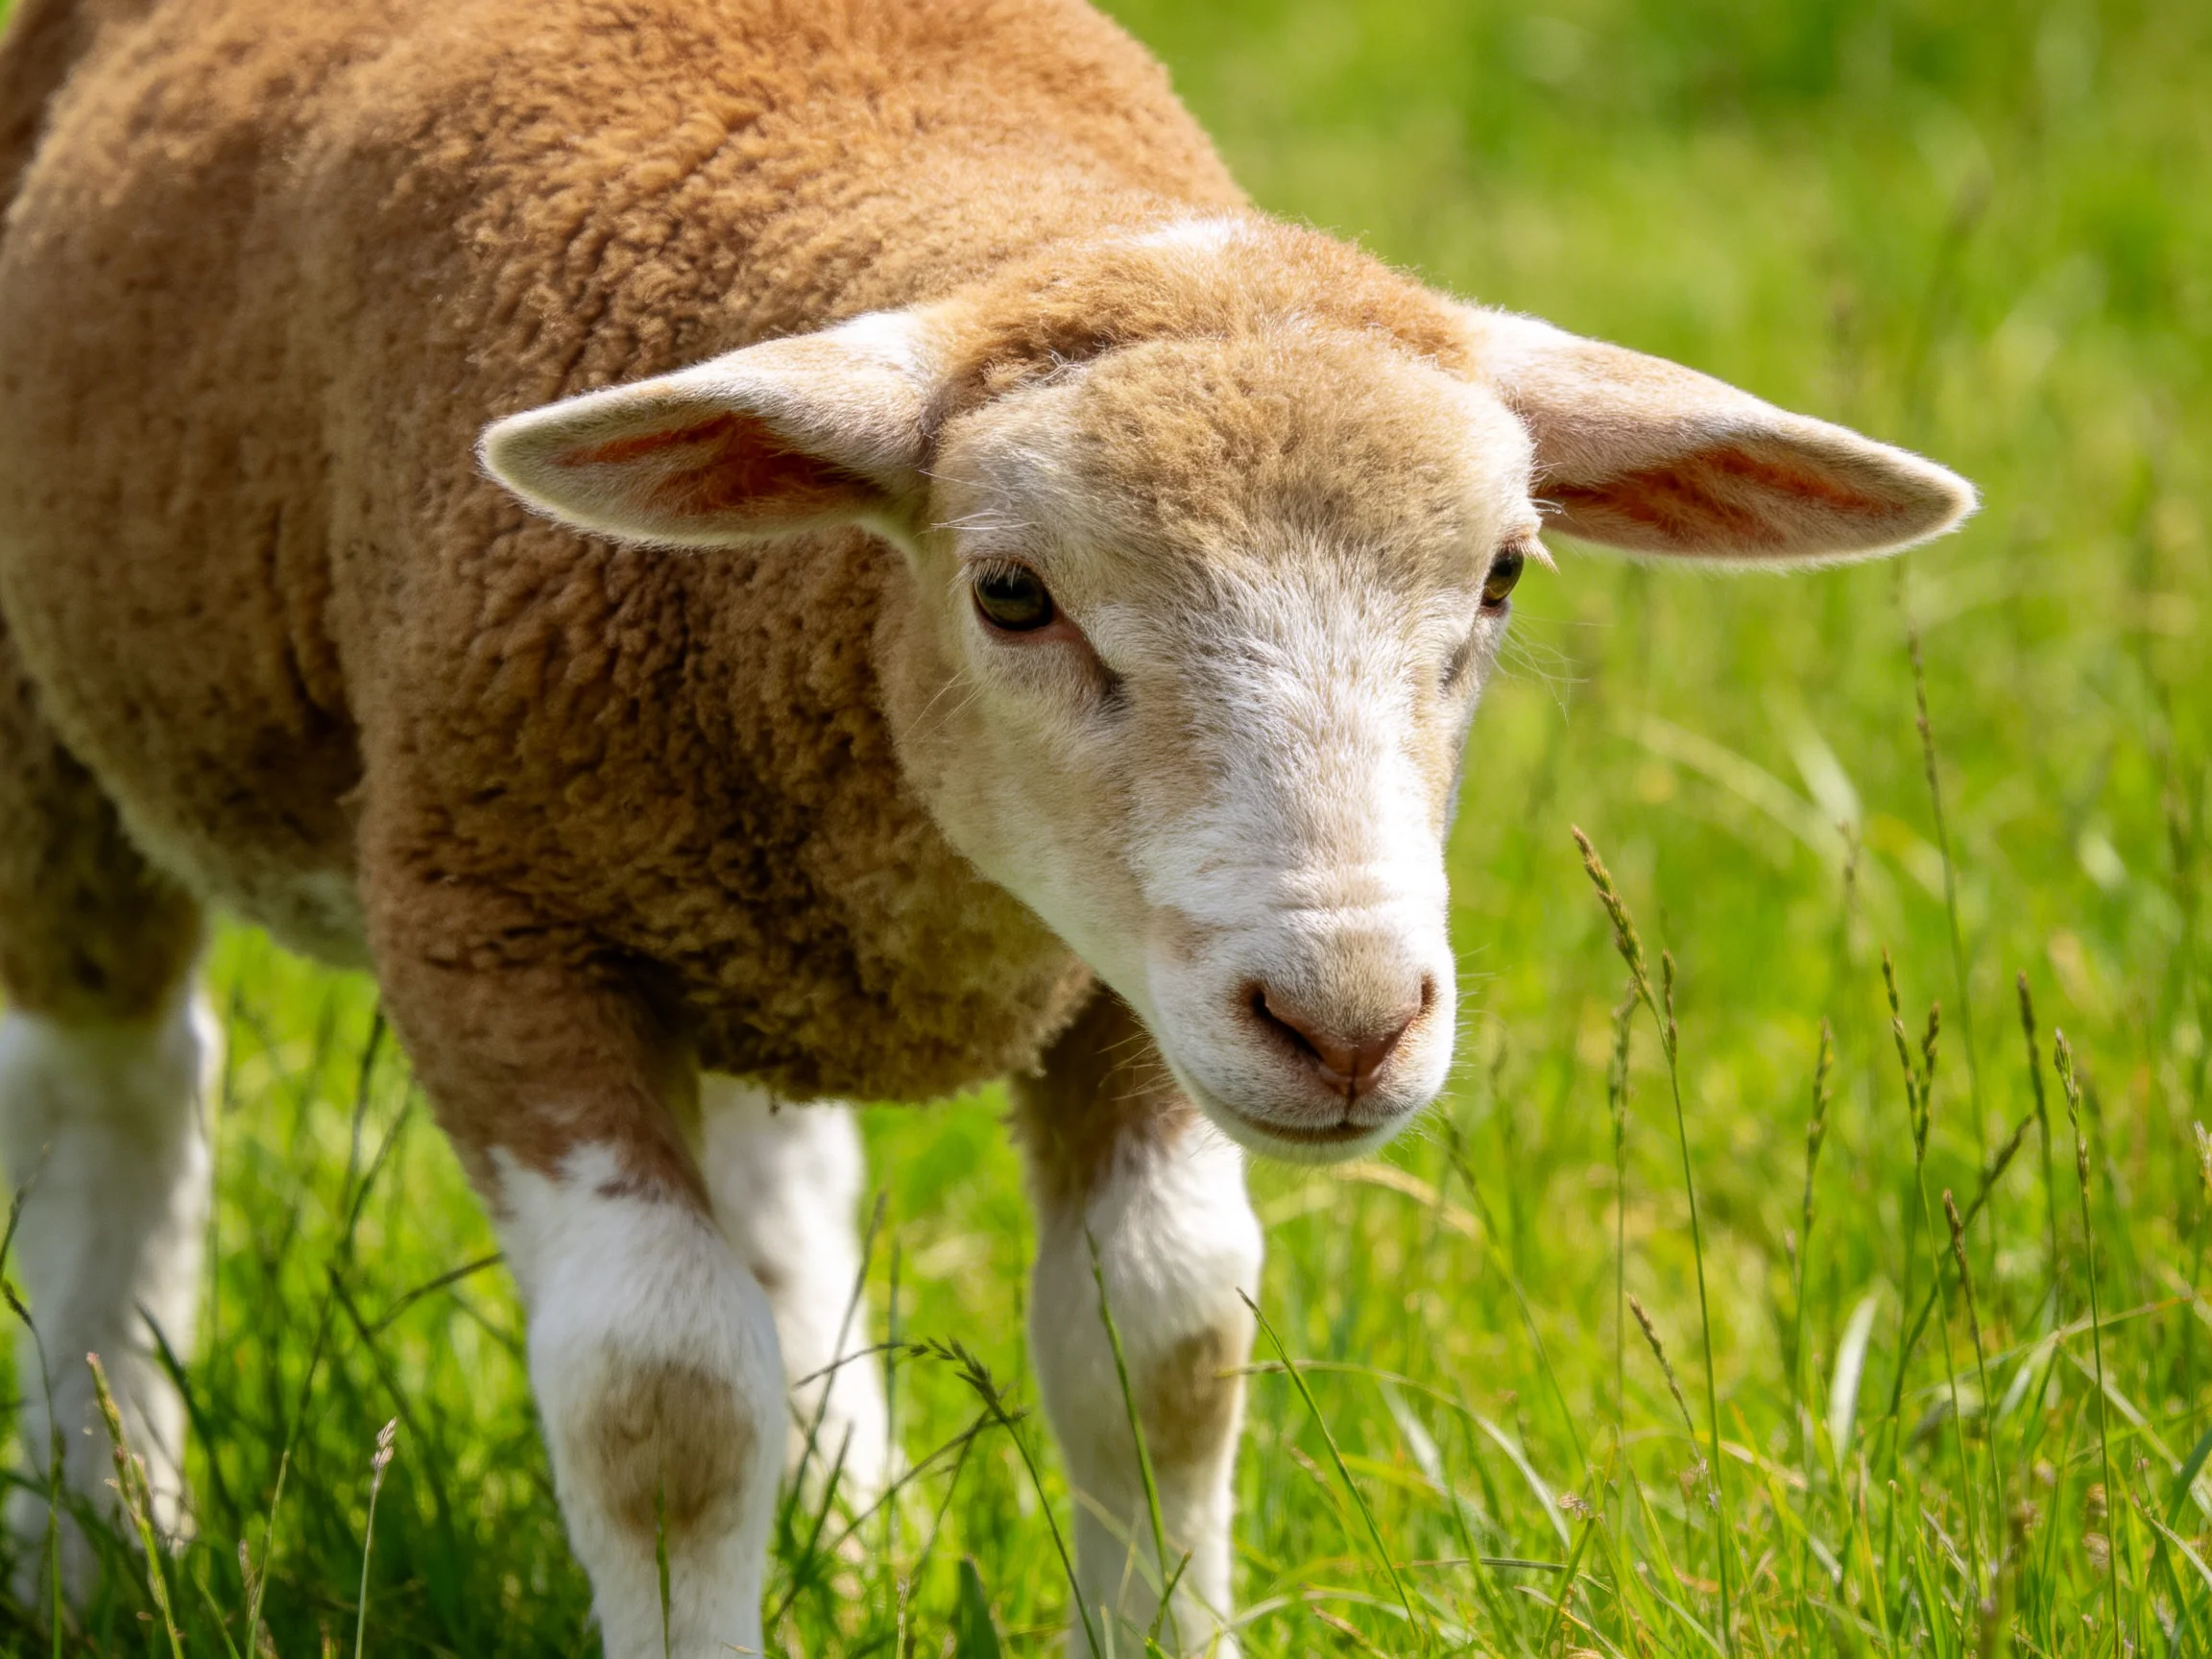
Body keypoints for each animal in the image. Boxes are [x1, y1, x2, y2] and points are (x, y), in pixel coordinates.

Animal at [0, 0, 1975, 1650]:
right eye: (1012, 595)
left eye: (1497, 578)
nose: (1347, 1023)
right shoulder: (487, 908)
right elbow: (658, 1399)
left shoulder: (1125, 982)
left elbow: (1163, 1345)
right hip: (65, 726)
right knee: (122, 1086)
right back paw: (102, 1531)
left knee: (777, 1144)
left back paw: (853, 1513)